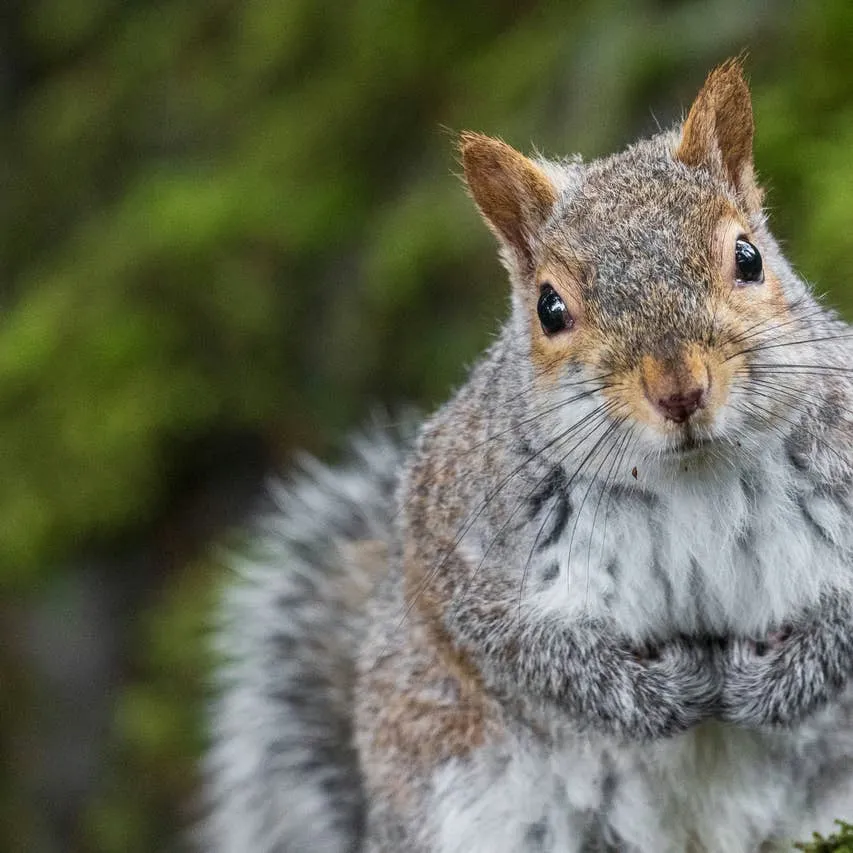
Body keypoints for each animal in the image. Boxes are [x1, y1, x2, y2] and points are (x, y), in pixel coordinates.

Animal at [203, 60, 853, 853]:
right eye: (549, 307)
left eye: (748, 258)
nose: (679, 389)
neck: (690, 475)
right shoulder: (457, 536)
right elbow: (523, 651)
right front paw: (657, 693)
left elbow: (844, 625)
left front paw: (781, 680)